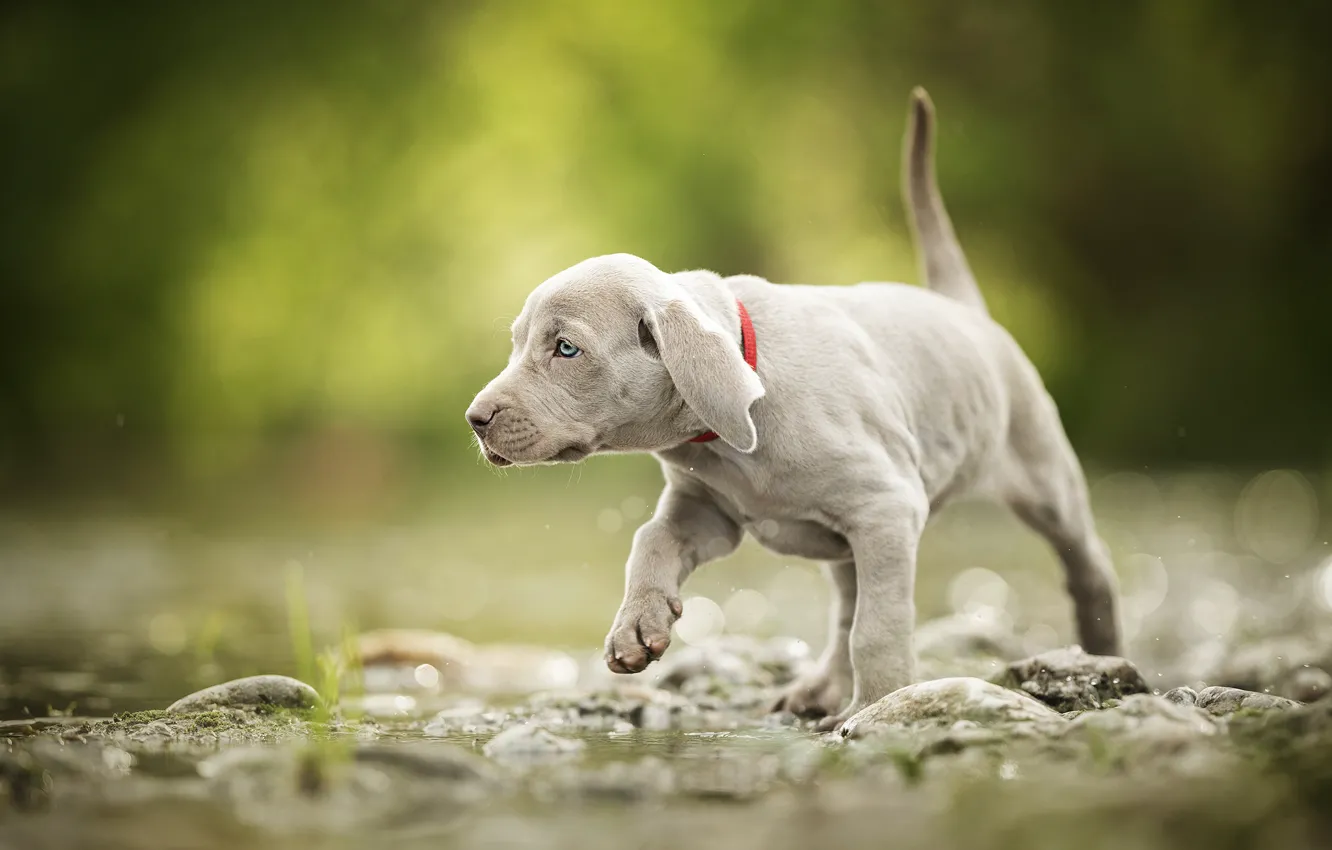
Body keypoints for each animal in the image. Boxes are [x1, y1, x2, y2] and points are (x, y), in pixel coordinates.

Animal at [468, 87, 1124, 735]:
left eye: (566, 348)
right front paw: (638, 626)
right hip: (847, 541)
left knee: (1086, 565)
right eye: (518, 342)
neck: (731, 431)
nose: (474, 419)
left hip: (1041, 471)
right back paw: (816, 690)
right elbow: (650, 538)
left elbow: (878, 628)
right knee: (846, 605)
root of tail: (963, 308)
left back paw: (1101, 652)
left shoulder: (888, 507)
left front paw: (876, 708)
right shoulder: (709, 512)